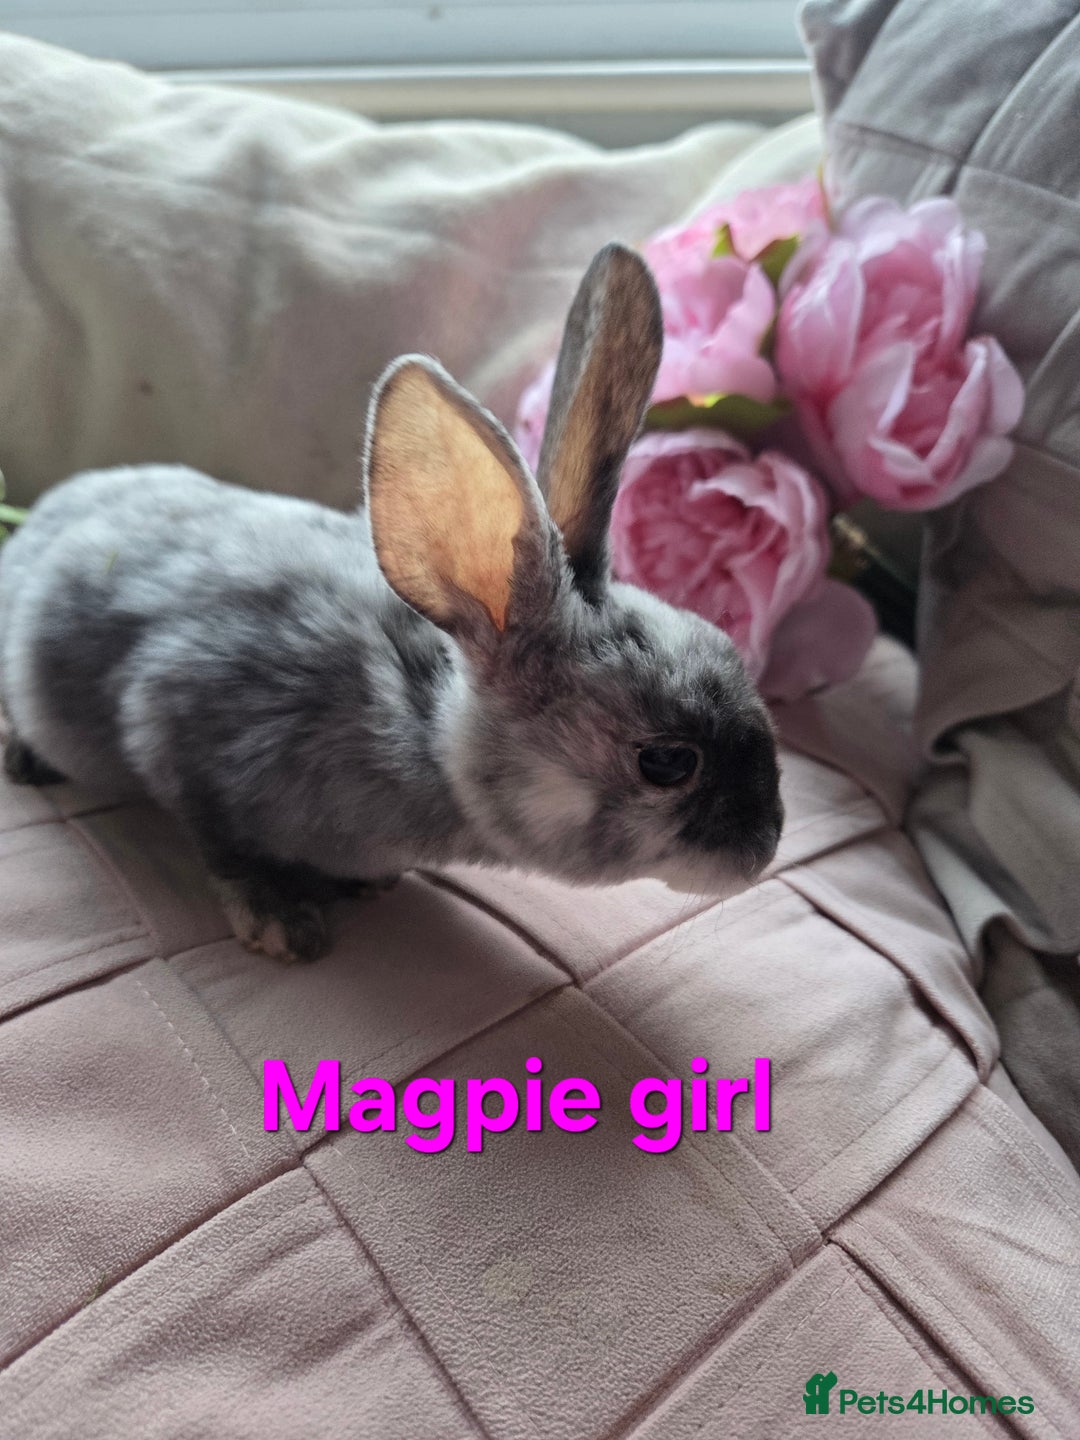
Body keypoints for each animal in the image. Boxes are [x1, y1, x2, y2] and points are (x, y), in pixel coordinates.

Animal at [0, 243, 783, 963]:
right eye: (667, 762)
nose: (767, 844)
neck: (423, 727)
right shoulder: (177, 732)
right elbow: (224, 846)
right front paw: (283, 923)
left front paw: (365, 883)